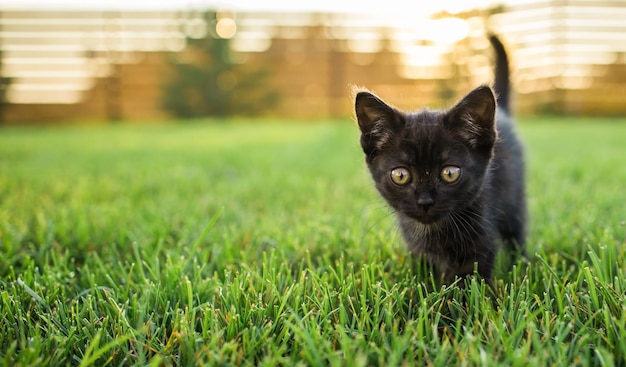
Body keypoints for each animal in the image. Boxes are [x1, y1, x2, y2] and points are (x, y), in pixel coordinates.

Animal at [354, 36, 524, 284]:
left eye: (450, 173)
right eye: (400, 175)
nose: (425, 202)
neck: (435, 231)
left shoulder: (481, 239)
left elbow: (470, 280)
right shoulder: (417, 248)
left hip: (513, 201)